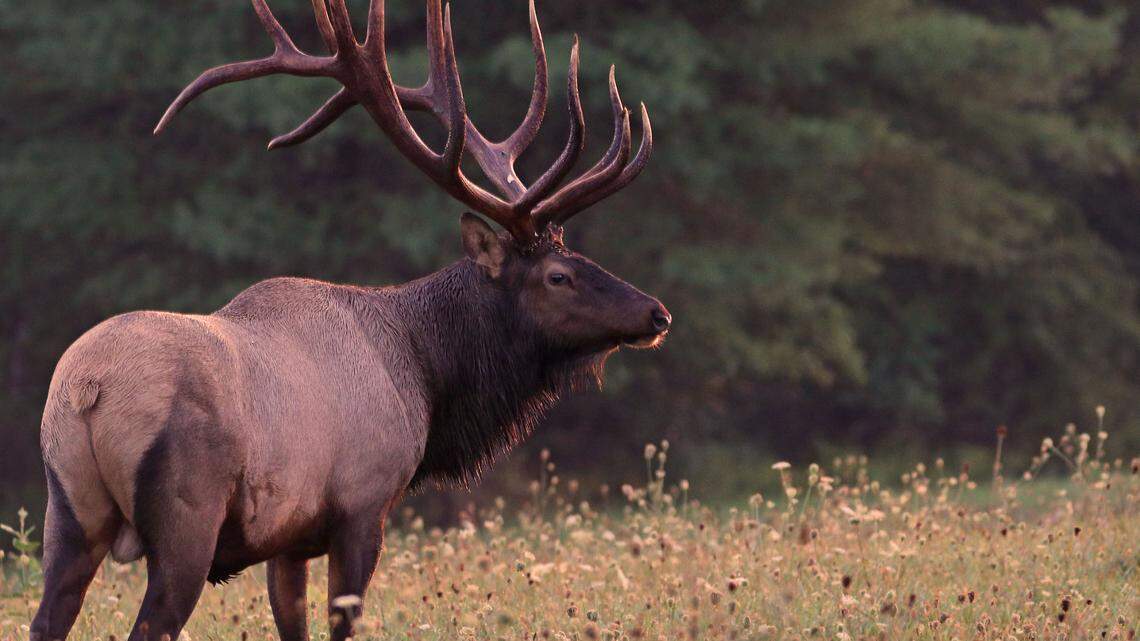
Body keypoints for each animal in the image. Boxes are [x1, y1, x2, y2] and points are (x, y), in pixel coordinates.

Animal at [31, 0, 668, 640]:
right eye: (558, 275)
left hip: (66, 512)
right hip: (187, 516)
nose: (657, 312)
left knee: (47, 617)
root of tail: (88, 389)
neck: (424, 375)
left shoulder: (287, 541)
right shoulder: (363, 505)